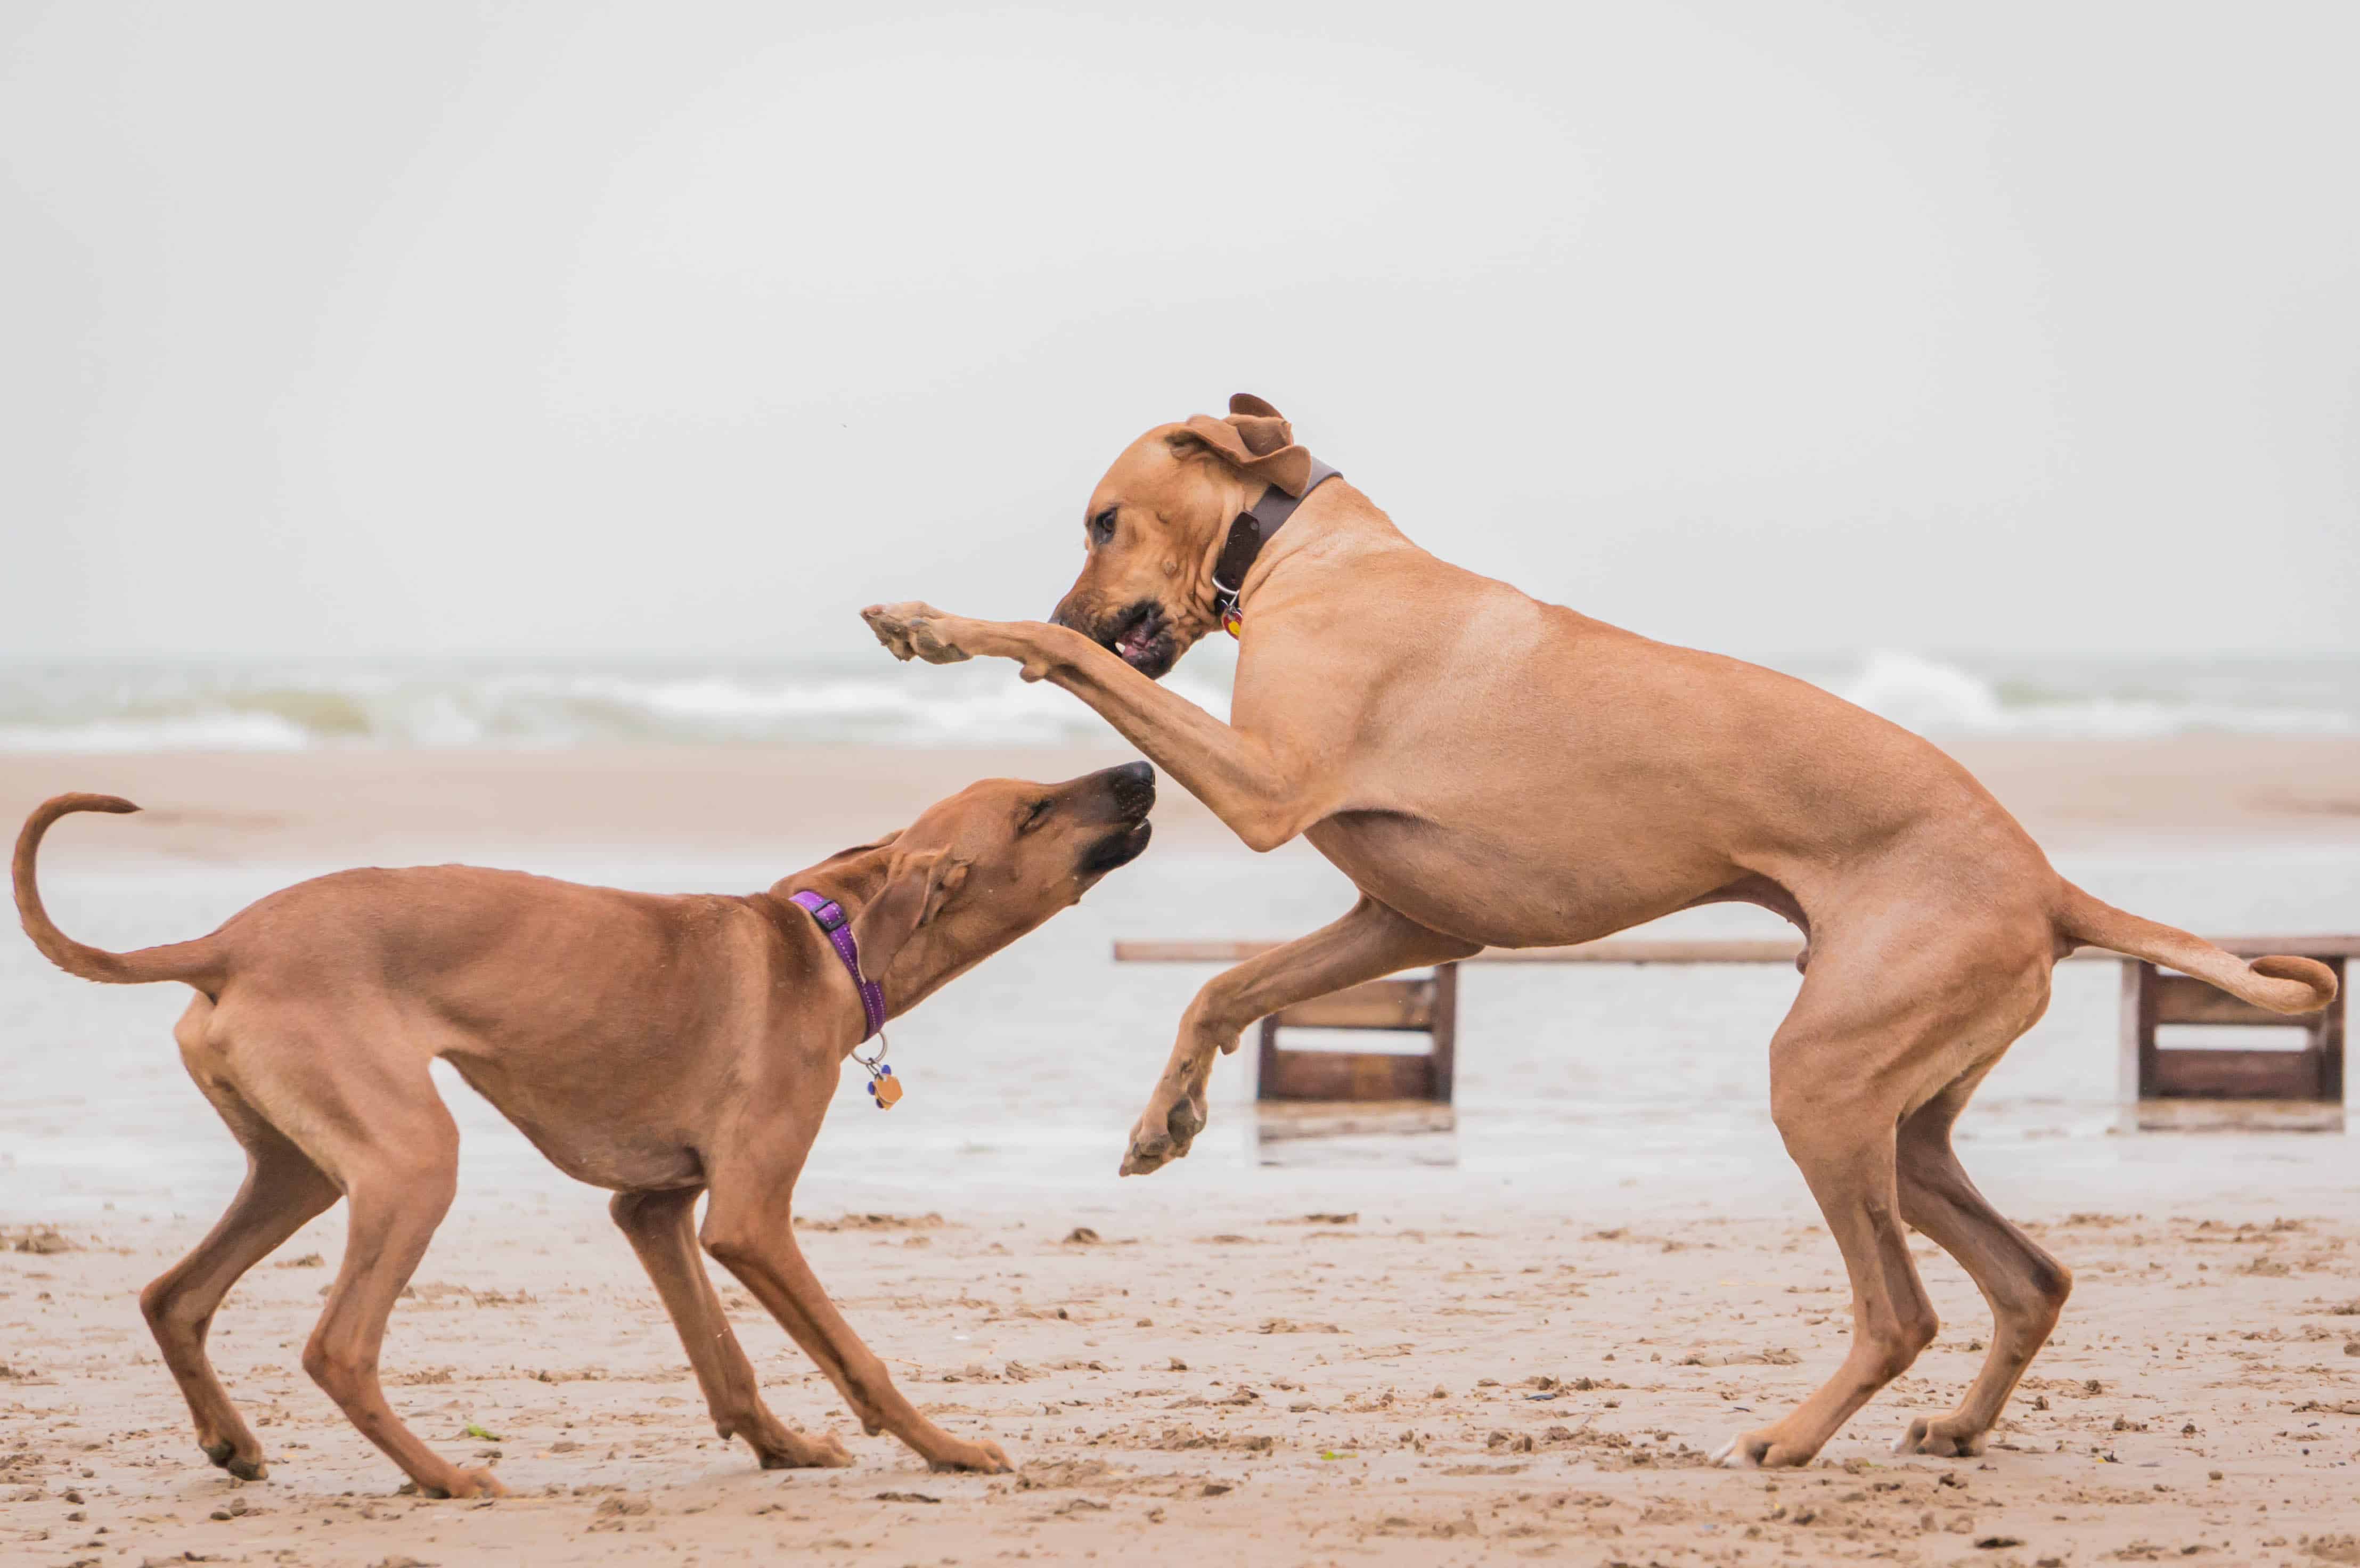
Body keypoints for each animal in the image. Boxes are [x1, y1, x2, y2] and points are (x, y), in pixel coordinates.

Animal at [16, 765, 1161, 1501]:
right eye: (1034, 809)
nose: (1140, 767)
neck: (828, 937)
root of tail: (225, 941)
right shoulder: (749, 1220)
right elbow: (856, 1356)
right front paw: (947, 1449)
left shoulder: (656, 1207)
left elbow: (724, 1359)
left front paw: (781, 1444)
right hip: (412, 1164)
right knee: (337, 1345)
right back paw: (442, 1475)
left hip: (303, 1172)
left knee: (175, 1295)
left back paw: (233, 1442)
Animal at [859, 392, 2331, 1473]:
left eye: (1102, 521)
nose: (1075, 603)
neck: (1306, 553)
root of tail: (2049, 882)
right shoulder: (1401, 916)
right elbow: (1223, 989)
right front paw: (1167, 1116)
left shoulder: (1267, 790)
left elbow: (1078, 673)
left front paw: (946, 624)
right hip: (1899, 1114)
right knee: (2029, 1278)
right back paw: (1960, 1427)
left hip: (1824, 1083)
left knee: (1901, 1308)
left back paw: (1786, 1438)